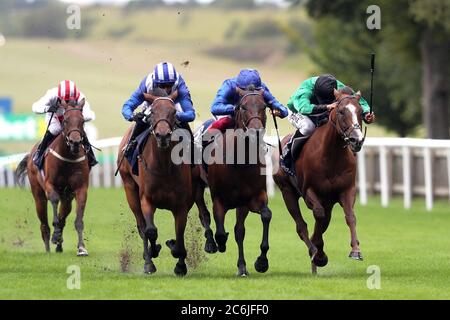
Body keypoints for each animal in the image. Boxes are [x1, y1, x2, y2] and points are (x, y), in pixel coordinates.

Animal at [15, 99, 91, 256]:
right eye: (66, 120)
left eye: (82, 121)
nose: (75, 142)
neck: (68, 157)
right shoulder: (50, 185)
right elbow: (54, 202)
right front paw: (56, 235)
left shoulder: (81, 189)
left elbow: (78, 220)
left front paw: (81, 248)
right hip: (38, 195)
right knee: (44, 223)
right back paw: (48, 247)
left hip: (67, 197)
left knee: (64, 214)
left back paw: (59, 245)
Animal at [117, 88, 196, 276]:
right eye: (152, 112)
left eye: (174, 112)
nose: (162, 135)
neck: (164, 167)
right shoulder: (147, 199)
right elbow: (150, 230)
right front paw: (152, 255)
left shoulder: (182, 204)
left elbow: (179, 233)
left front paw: (179, 263)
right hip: (130, 188)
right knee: (141, 226)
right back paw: (148, 259)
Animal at [196, 87, 272, 276]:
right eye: (243, 107)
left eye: (264, 106)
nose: (256, 132)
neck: (239, 162)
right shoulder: (219, 199)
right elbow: (220, 231)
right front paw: (219, 243)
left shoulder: (251, 198)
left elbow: (264, 216)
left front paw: (261, 262)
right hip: (197, 185)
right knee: (203, 212)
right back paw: (211, 243)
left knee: (239, 230)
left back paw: (242, 266)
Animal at [274, 89, 366, 274]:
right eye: (341, 111)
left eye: (360, 112)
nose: (357, 140)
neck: (332, 156)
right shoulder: (309, 190)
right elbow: (318, 215)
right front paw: (318, 254)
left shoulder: (347, 190)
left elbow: (350, 217)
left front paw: (355, 250)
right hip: (287, 191)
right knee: (301, 225)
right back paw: (314, 252)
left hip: (328, 201)